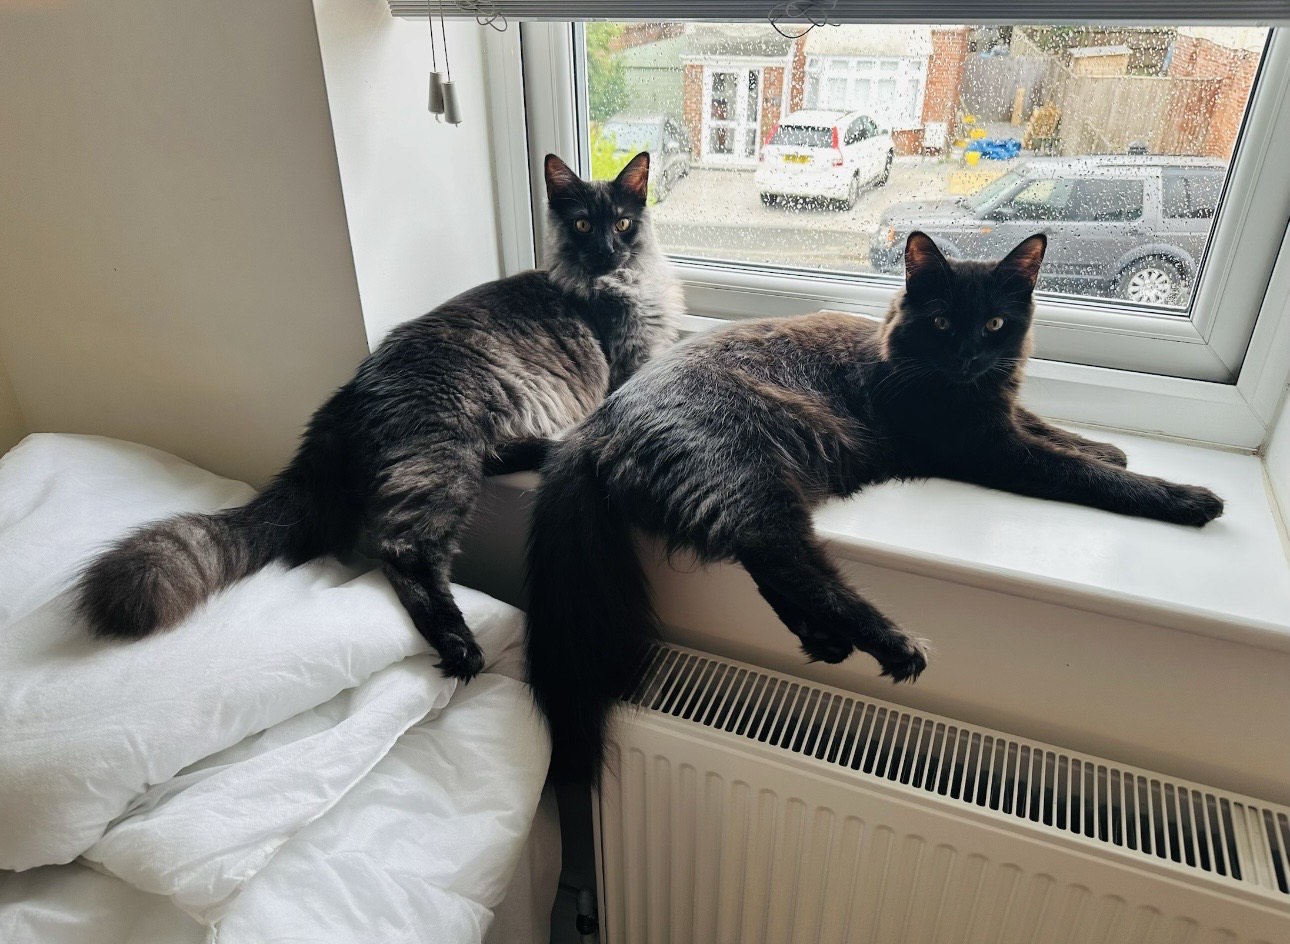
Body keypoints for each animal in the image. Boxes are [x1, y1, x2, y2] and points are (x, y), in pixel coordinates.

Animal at [76, 152, 683, 680]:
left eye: (623, 223)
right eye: (582, 225)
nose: (607, 252)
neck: (618, 284)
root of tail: (347, 394)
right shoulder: (629, 364)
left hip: (466, 444)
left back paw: (555, 444)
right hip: (442, 457)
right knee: (402, 552)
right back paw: (461, 649)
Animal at [524, 231, 1225, 784]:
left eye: (995, 325)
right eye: (942, 324)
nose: (969, 356)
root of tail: (597, 420)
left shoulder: (1000, 417)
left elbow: (1050, 428)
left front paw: (1109, 447)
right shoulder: (987, 449)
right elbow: (1077, 471)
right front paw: (1185, 496)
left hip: (760, 490)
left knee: (768, 562)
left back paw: (824, 640)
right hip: (747, 475)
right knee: (789, 560)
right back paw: (894, 645)